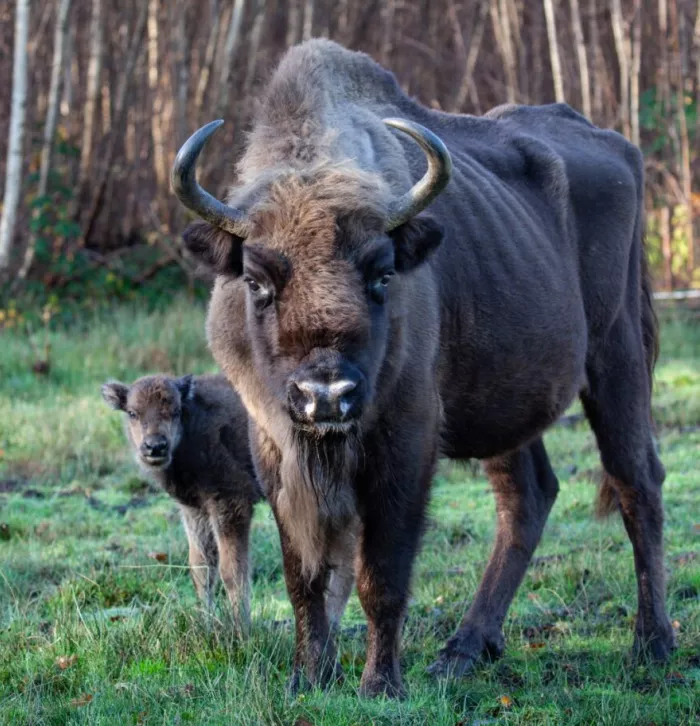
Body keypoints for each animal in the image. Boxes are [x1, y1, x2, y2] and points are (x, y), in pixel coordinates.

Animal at [100, 376, 262, 632]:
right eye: (133, 412)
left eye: (175, 411)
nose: (155, 446)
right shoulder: (195, 510)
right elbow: (201, 568)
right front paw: (206, 626)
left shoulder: (231, 504)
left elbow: (232, 572)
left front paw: (242, 631)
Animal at [168, 41, 672, 700]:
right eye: (256, 281)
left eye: (383, 274)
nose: (326, 396)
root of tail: (617, 147)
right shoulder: (273, 445)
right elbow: (304, 573)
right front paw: (309, 677)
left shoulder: (405, 440)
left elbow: (381, 574)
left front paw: (380, 684)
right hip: (508, 404)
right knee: (528, 496)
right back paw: (463, 650)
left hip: (617, 357)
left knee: (638, 482)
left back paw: (652, 645)